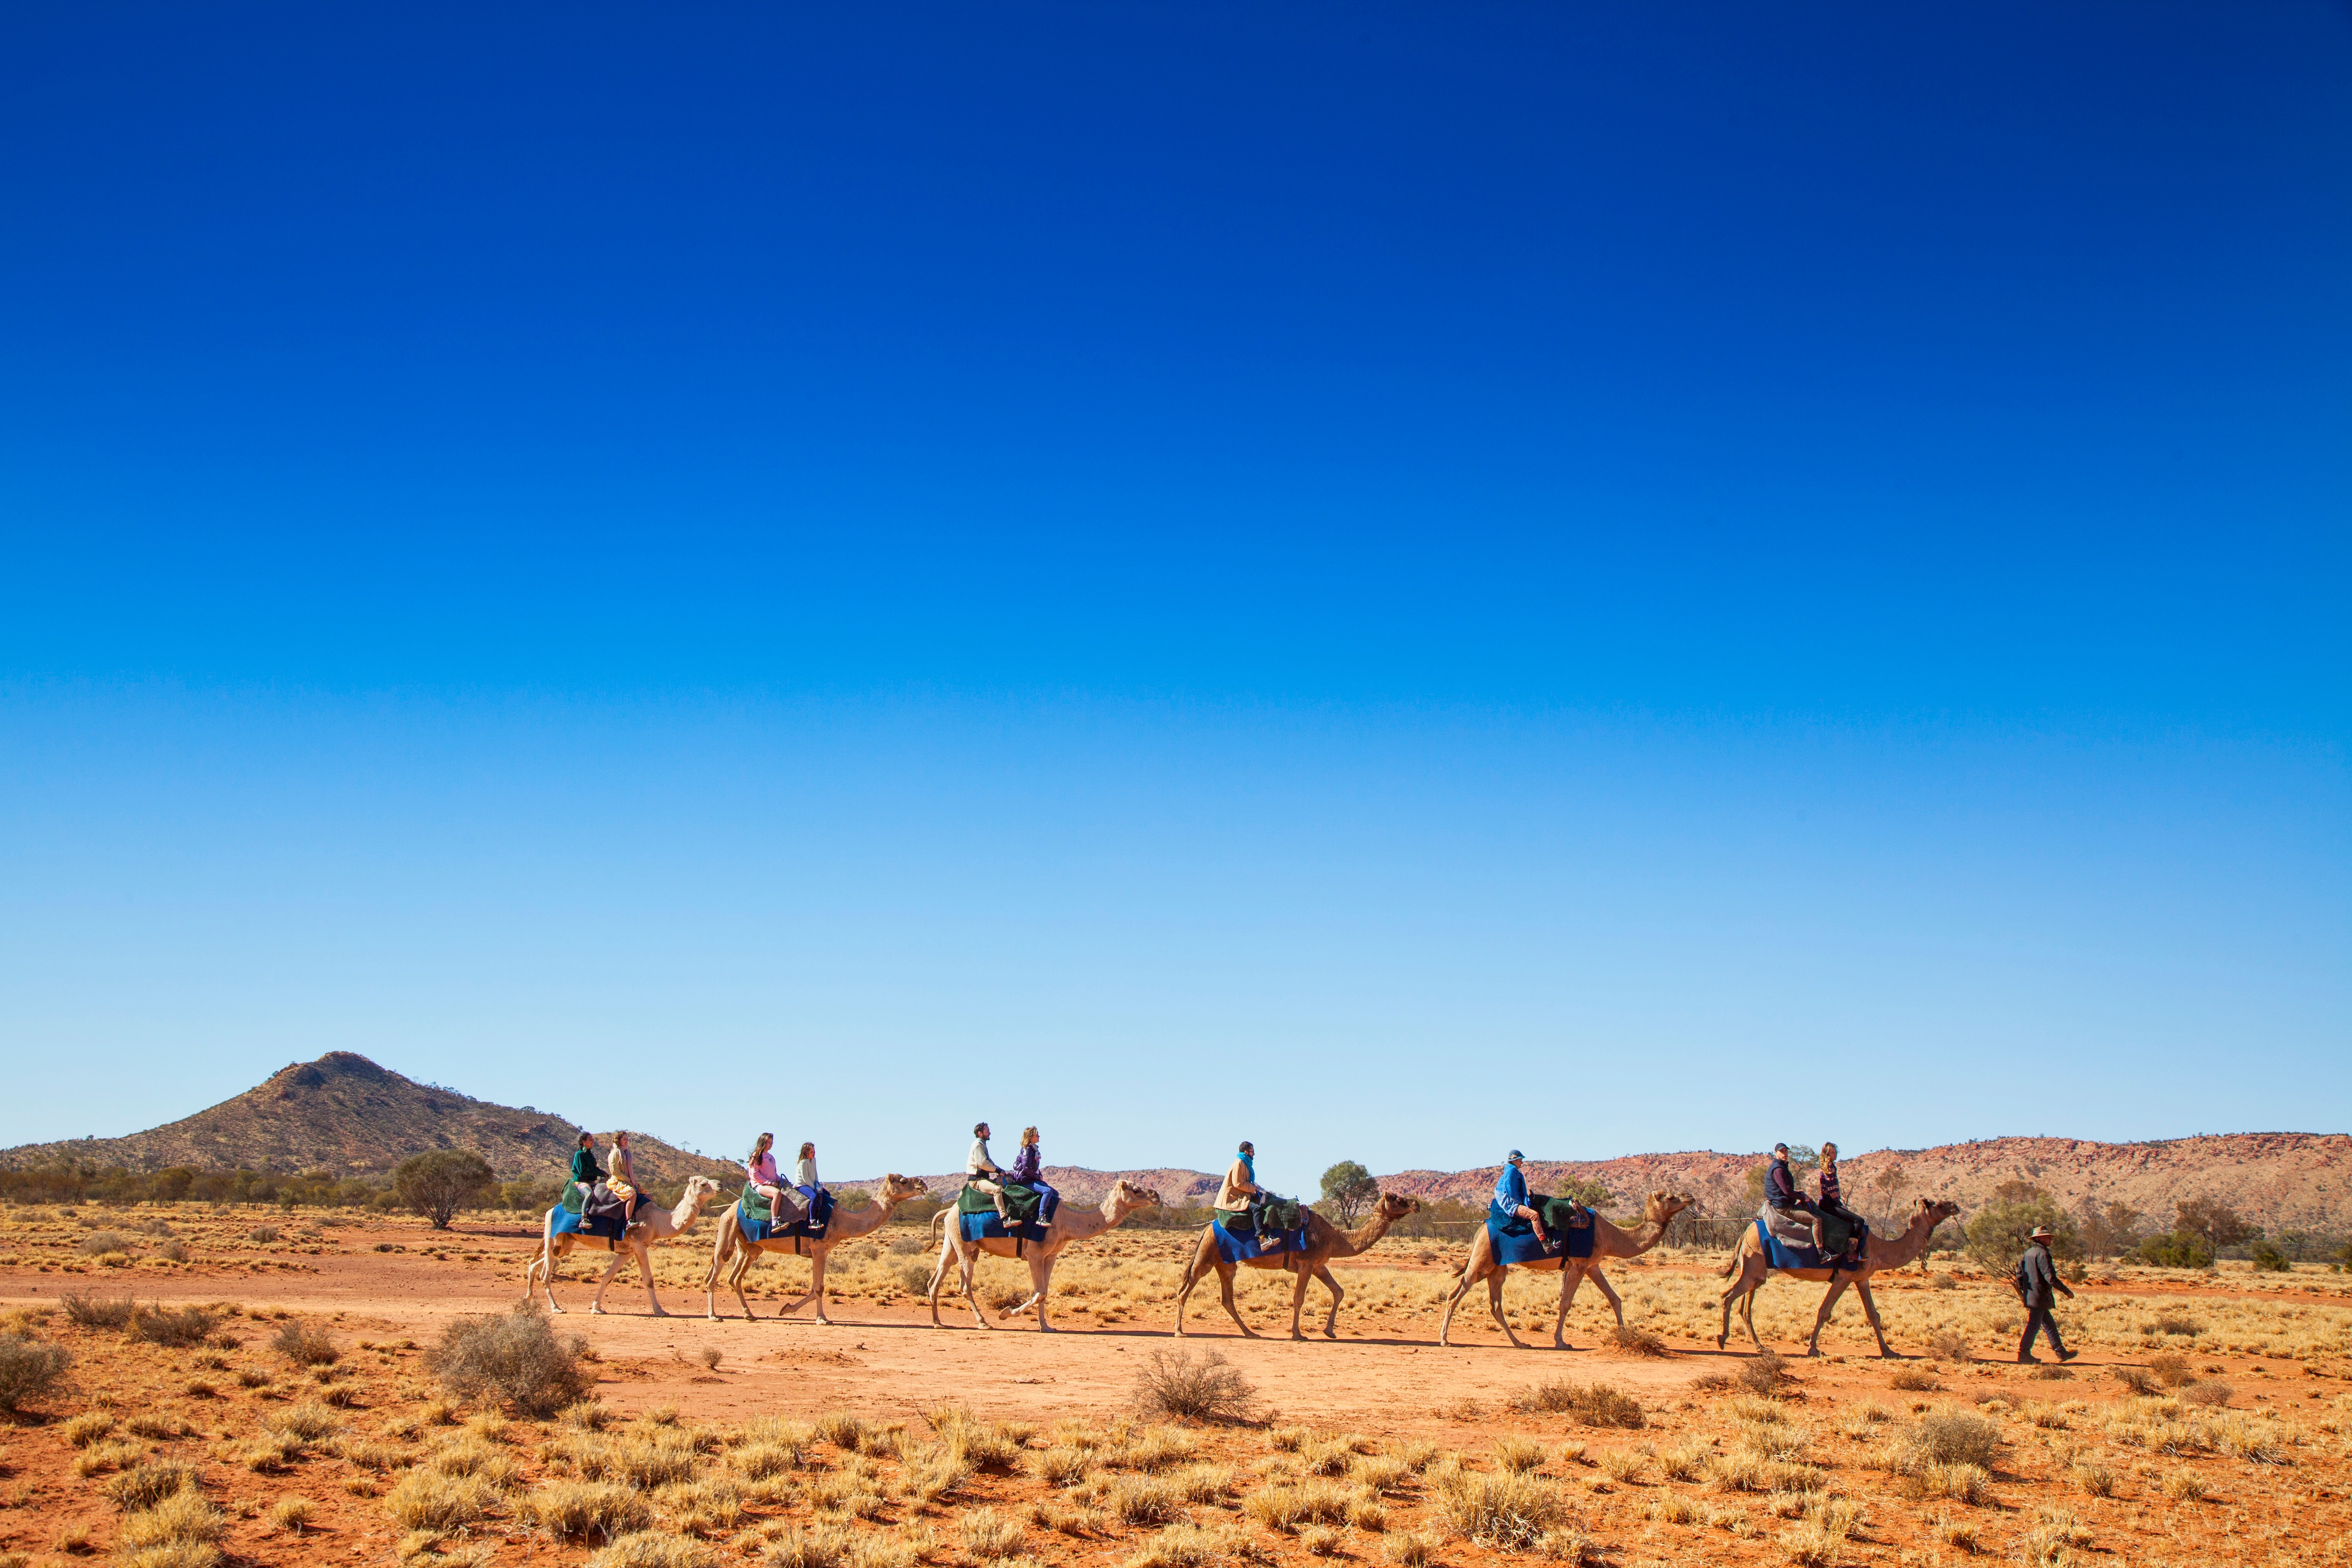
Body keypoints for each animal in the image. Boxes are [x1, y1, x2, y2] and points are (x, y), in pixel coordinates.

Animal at [696, 1175, 927, 1326]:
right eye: (903, 1180)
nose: (922, 1184)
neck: (841, 1221)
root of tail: (728, 1208)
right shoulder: (820, 1249)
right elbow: (819, 1288)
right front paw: (822, 1319)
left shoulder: (819, 1252)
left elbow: (814, 1288)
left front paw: (786, 1308)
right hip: (728, 1229)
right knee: (714, 1272)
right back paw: (714, 1316)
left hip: (749, 1247)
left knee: (735, 1277)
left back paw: (749, 1314)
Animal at [927, 1185, 1167, 1335]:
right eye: (1136, 1190)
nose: (1156, 1195)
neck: (1066, 1221)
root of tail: (948, 1210)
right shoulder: (1035, 1254)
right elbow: (1040, 1292)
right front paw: (1006, 1313)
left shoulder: (1050, 1256)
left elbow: (1045, 1293)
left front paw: (1046, 1327)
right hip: (965, 1248)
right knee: (964, 1286)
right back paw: (983, 1323)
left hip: (952, 1243)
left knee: (935, 1279)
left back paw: (938, 1323)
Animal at [1171, 1194, 1411, 1345]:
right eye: (1399, 1200)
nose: (1416, 1204)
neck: (1334, 1237)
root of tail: (1205, 1230)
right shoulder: (1306, 1264)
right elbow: (1299, 1298)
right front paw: (1298, 1334)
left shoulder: (1318, 1265)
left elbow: (1339, 1291)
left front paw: (1330, 1331)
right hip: (1206, 1257)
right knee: (1184, 1290)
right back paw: (1180, 1332)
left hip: (1225, 1263)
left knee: (1227, 1299)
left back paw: (1250, 1333)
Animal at [1430, 1189, 1693, 1354]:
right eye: (1671, 1196)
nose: (1690, 1197)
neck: (1609, 1235)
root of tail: (1479, 1231)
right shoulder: (1579, 1265)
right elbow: (1565, 1303)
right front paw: (1561, 1342)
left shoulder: (1593, 1265)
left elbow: (1614, 1299)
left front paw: (1624, 1336)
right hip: (1482, 1261)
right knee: (1456, 1295)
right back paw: (1445, 1340)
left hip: (1496, 1268)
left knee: (1494, 1305)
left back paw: (1521, 1344)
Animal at [1712, 1203, 1966, 1363]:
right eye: (1937, 1204)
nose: (1955, 1206)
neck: (1877, 1247)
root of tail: (1744, 1233)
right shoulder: (1844, 1276)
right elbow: (1824, 1311)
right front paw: (1813, 1348)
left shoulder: (1862, 1278)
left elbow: (1873, 1315)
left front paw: (1889, 1351)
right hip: (1754, 1264)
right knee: (1728, 1295)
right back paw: (1723, 1339)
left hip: (1756, 1271)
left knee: (1745, 1306)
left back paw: (1761, 1347)